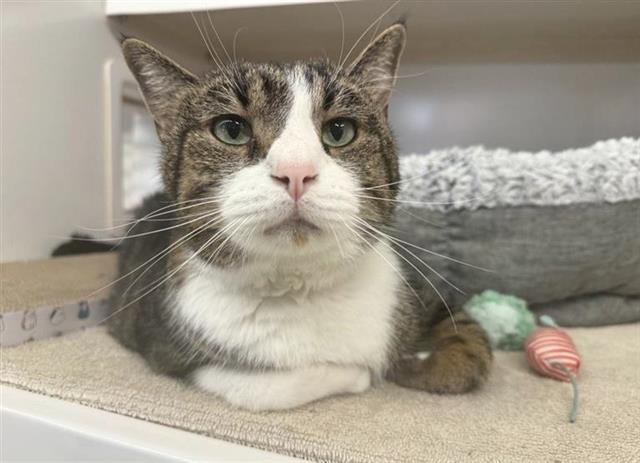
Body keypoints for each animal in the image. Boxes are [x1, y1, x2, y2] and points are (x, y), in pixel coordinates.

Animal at [110, 23, 492, 412]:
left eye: (339, 130)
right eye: (231, 130)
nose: (296, 171)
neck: (300, 287)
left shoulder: (413, 291)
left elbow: (471, 340)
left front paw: (423, 363)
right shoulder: (163, 345)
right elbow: (263, 387)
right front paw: (365, 372)